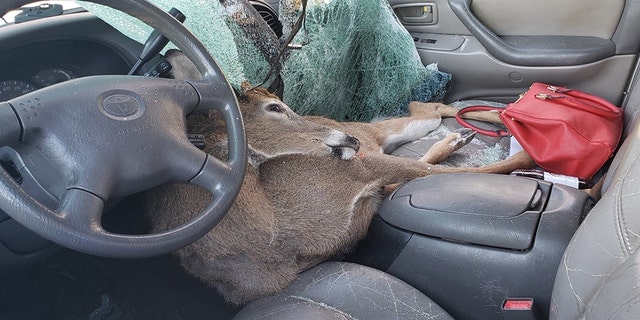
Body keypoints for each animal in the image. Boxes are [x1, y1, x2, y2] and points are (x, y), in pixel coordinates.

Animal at [140, 50, 536, 304]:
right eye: (275, 107)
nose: (348, 140)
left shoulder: (359, 168)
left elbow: (439, 171)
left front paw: (528, 156)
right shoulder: (361, 181)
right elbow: (429, 172)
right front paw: (526, 157)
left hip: (379, 134)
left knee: (429, 107)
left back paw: (519, 114)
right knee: (424, 118)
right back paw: (470, 134)